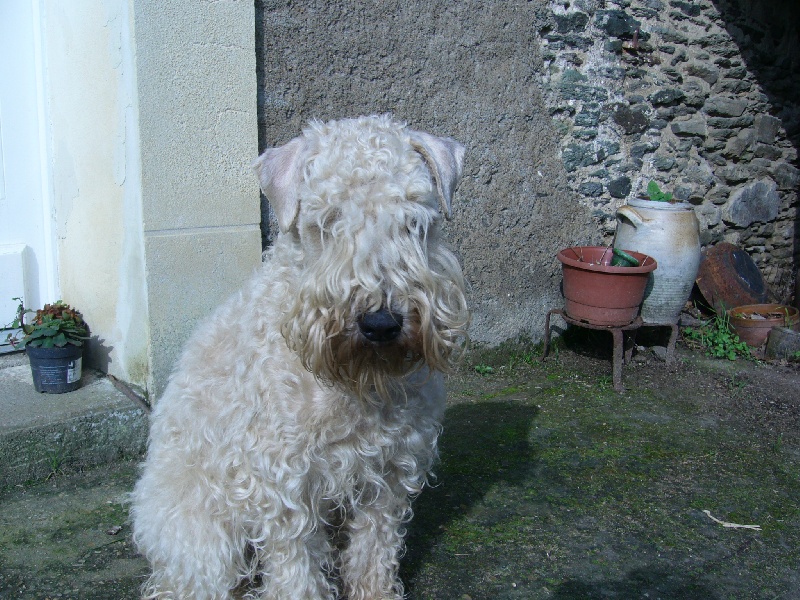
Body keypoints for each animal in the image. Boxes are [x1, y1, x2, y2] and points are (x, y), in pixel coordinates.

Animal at [130, 115, 469, 599]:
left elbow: (375, 551)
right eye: (326, 221)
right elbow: (297, 569)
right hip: (202, 534)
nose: (380, 323)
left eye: (413, 221)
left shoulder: (391, 470)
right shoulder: (286, 480)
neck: (358, 386)